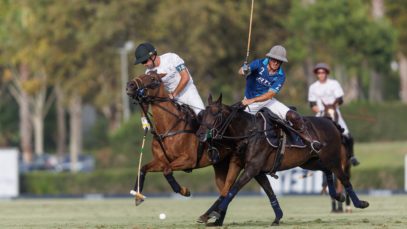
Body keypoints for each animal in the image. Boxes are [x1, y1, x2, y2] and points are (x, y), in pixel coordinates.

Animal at [126, 72, 282, 226]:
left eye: (152, 79)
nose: (130, 85)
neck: (169, 128)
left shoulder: (188, 160)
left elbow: (167, 171)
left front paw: (185, 191)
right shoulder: (161, 160)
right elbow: (143, 168)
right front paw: (137, 197)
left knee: (229, 188)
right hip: (222, 165)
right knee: (225, 189)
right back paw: (216, 219)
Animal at [198, 94, 370, 225]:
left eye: (216, 114)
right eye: (202, 115)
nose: (200, 134)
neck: (248, 132)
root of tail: (330, 121)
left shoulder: (252, 167)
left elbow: (234, 188)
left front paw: (215, 214)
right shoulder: (247, 167)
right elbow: (232, 189)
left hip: (333, 158)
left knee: (344, 179)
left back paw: (359, 203)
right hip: (310, 161)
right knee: (326, 170)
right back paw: (337, 196)